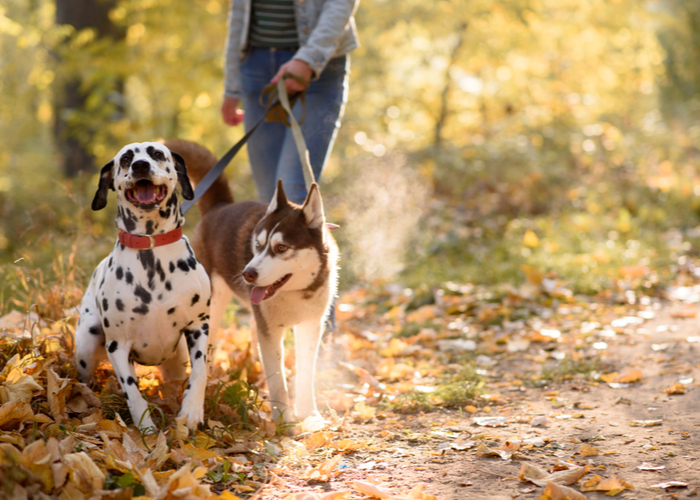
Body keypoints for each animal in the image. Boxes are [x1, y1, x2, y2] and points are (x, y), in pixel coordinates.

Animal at [74, 143, 211, 432]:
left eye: (157, 154)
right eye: (125, 159)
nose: (140, 166)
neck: (151, 249)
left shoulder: (199, 324)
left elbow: (201, 370)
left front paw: (191, 411)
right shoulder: (118, 346)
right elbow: (133, 392)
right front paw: (145, 428)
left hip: (177, 360)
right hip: (87, 344)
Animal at [164, 138, 340, 422]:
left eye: (281, 248)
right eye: (257, 245)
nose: (248, 274)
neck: (297, 293)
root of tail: (219, 207)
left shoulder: (310, 326)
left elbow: (305, 374)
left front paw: (309, 415)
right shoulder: (271, 331)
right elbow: (278, 380)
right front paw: (285, 422)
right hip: (212, 306)